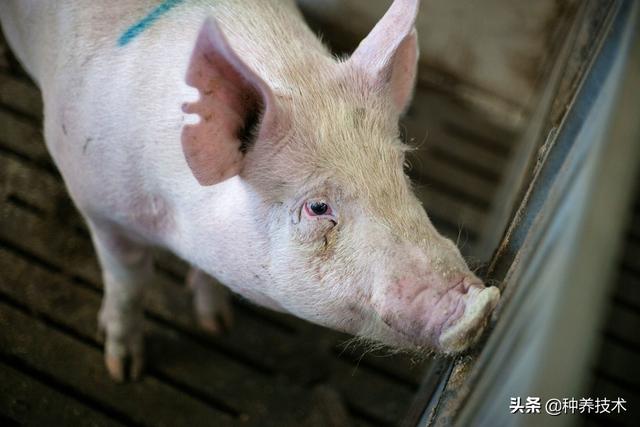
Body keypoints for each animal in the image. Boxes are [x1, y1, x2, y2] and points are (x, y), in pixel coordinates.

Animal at [0, 0, 500, 382]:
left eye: (401, 169)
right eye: (317, 206)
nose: (483, 304)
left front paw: (216, 324)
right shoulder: (100, 206)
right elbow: (129, 284)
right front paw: (124, 370)